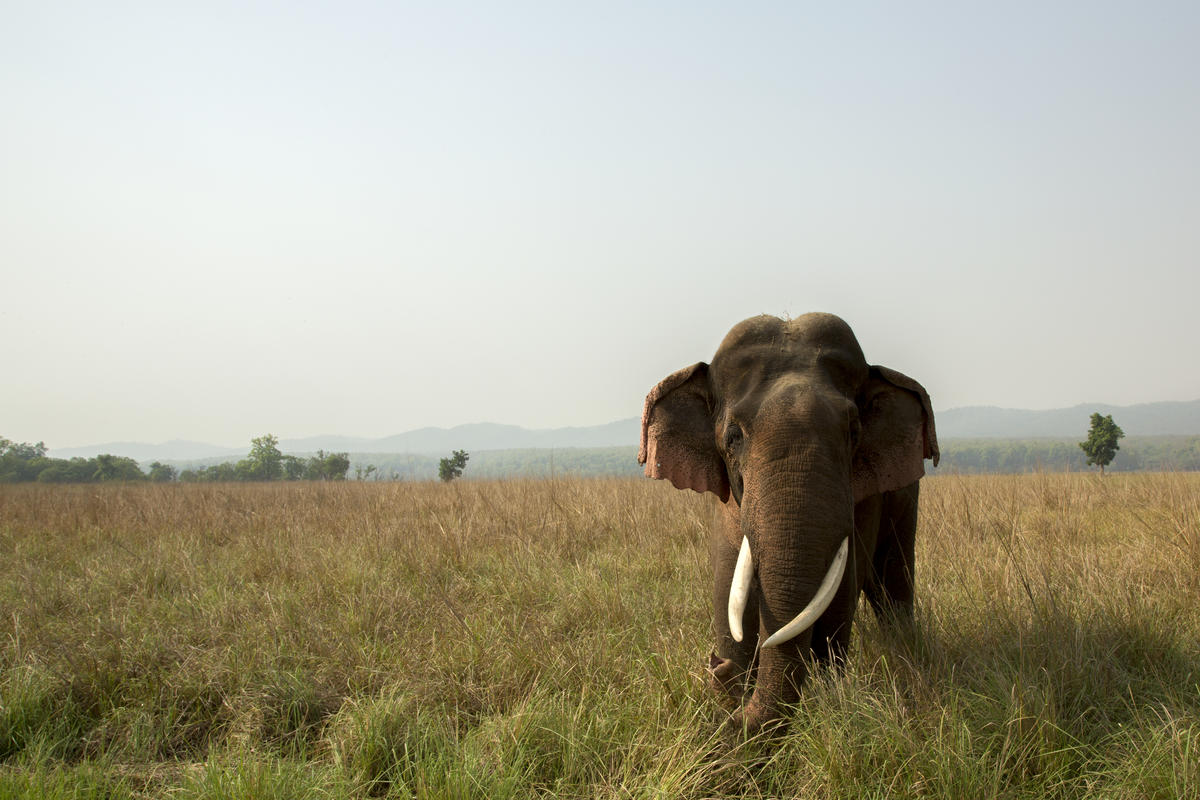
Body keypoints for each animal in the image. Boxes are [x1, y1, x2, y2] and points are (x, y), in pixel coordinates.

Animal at [638, 311, 936, 734]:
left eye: (853, 432)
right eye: (733, 436)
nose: (715, 668)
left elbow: (837, 603)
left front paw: (828, 692)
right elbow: (727, 594)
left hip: (904, 496)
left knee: (893, 582)